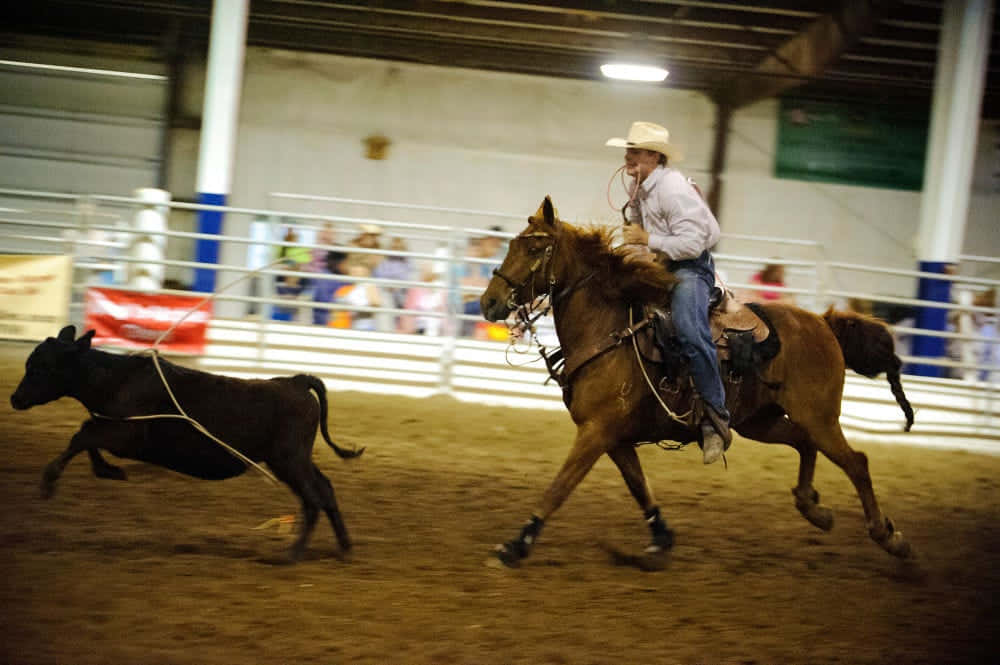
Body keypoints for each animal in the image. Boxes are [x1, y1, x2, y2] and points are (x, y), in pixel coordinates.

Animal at [482, 195, 916, 568]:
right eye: (513, 243)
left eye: (534, 249)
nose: (489, 301)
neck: (608, 330)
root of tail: (823, 322)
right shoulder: (613, 436)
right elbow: (639, 486)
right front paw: (660, 539)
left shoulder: (596, 431)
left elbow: (559, 487)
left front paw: (516, 545)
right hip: (761, 421)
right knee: (805, 444)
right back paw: (814, 509)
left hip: (820, 416)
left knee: (856, 463)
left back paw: (889, 537)